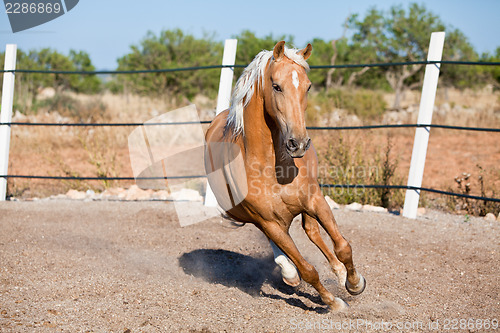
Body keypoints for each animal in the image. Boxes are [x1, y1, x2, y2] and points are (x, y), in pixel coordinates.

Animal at [205, 40, 366, 308]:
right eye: (276, 86)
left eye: (308, 86)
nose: (298, 143)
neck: (272, 166)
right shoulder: (269, 222)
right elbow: (307, 269)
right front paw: (333, 303)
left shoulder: (315, 200)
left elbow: (343, 246)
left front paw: (354, 283)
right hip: (269, 221)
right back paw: (289, 272)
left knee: (313, 232)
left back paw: (339, 273)